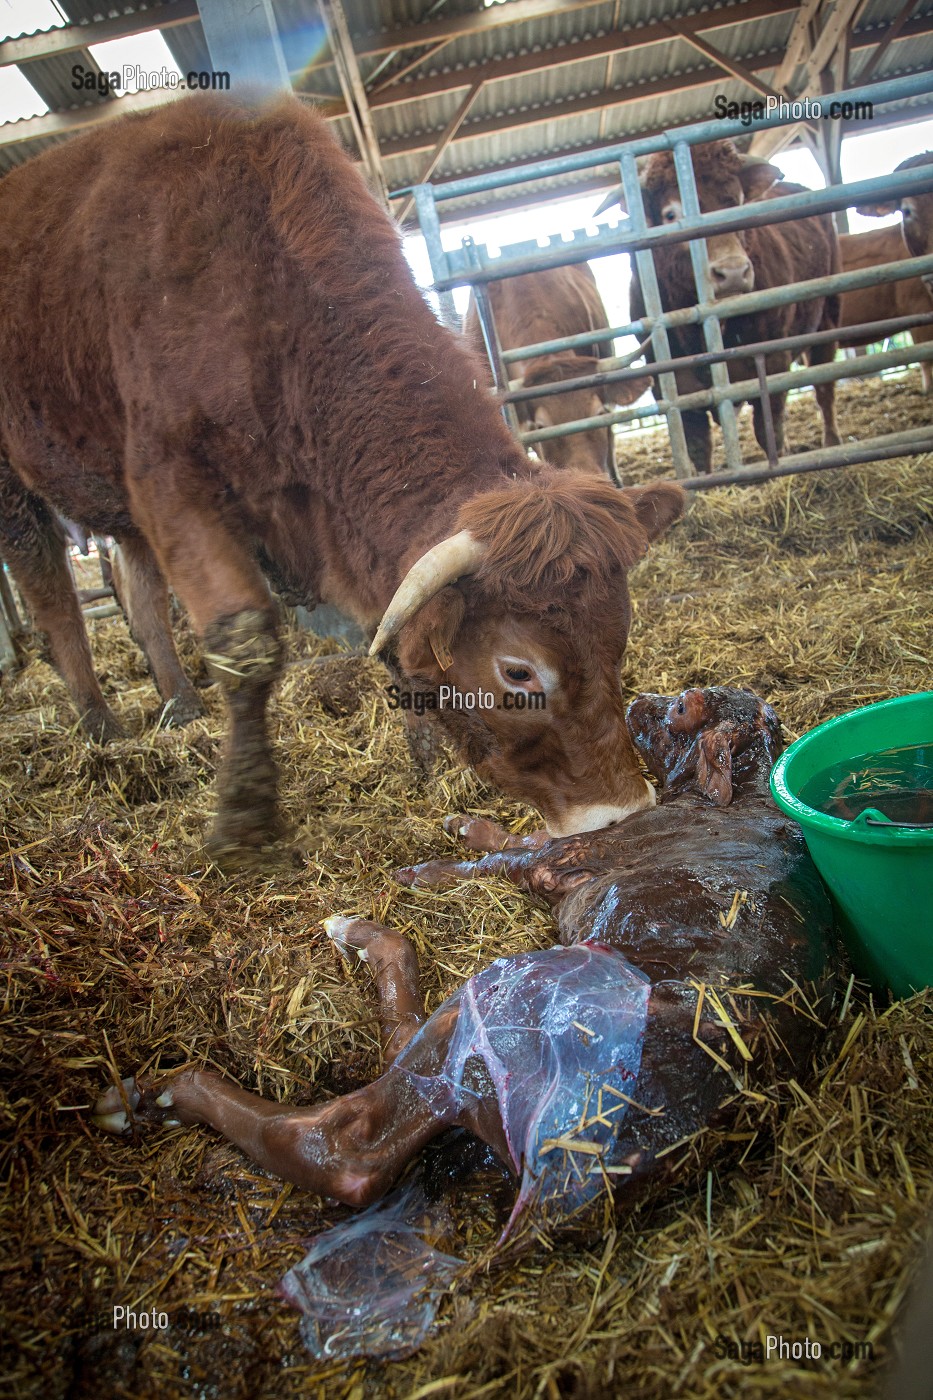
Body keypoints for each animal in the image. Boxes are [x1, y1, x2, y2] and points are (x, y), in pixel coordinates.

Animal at [599, 142, 841, 474]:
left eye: (736, 202)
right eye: (670, 213)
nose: (734, 272)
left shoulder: (773, 358)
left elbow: (769, 429)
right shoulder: (675, 383)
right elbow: (698, 445)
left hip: (827, 318)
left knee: (824, 387)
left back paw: (832, 441)